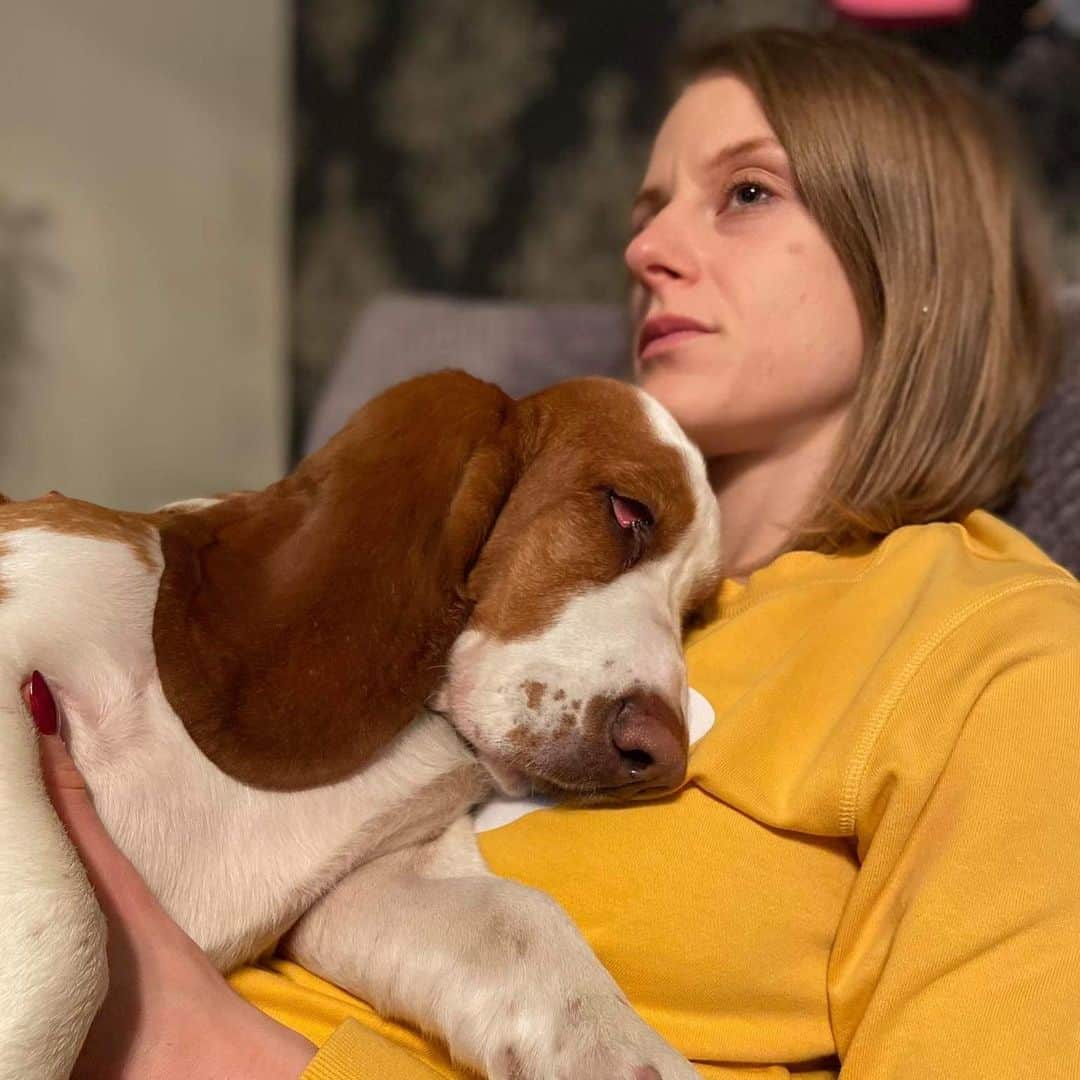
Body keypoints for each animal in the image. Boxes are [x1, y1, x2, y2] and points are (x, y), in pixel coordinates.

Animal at [2, 373, 725, 1080]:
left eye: (693, 613)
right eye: (626, 511)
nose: (664, 760)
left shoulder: (379, 878)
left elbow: (523, 919)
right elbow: (69, 927)